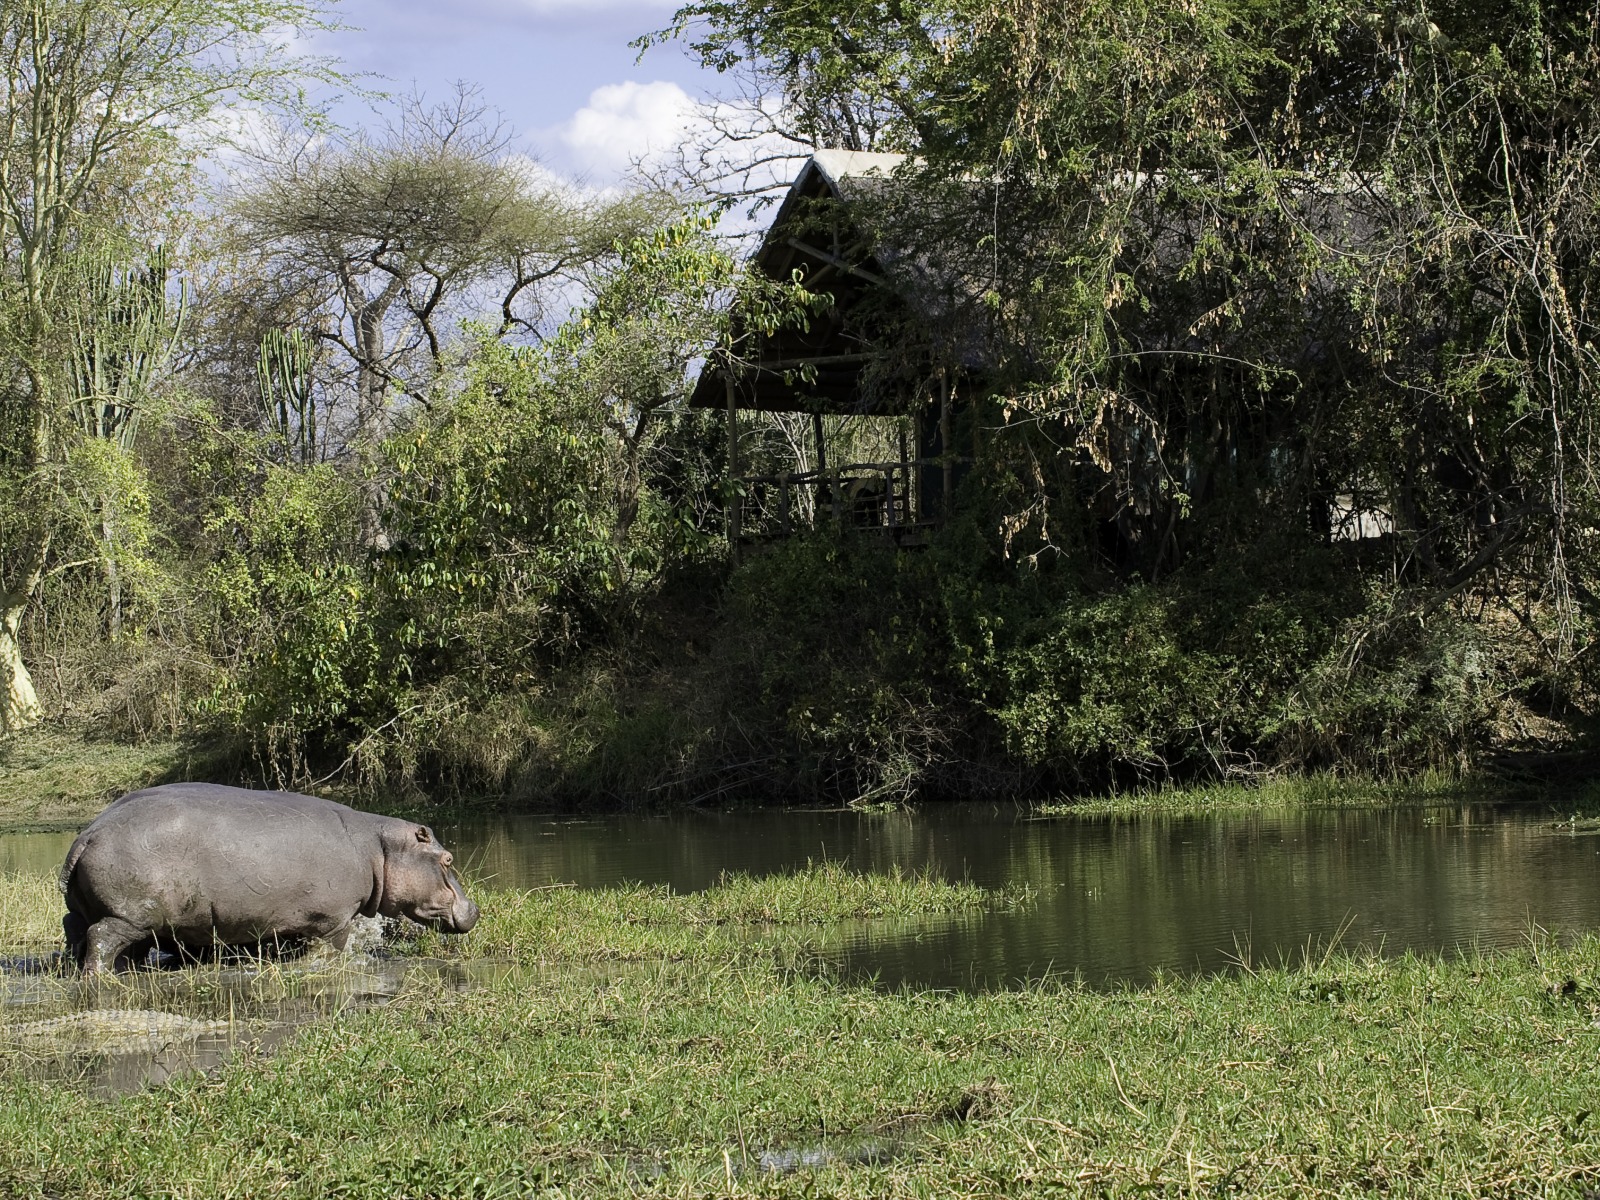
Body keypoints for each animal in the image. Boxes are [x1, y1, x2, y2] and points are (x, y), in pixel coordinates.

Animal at [60, 783, 479, 972]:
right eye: (447, 858)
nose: (475, 908)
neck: (378, 848)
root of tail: (88, 834)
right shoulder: (334, 920)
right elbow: (332, 949)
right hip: (128, 915)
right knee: (101, 939)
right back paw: (100, 978)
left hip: (93, 912)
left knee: (80, 933)